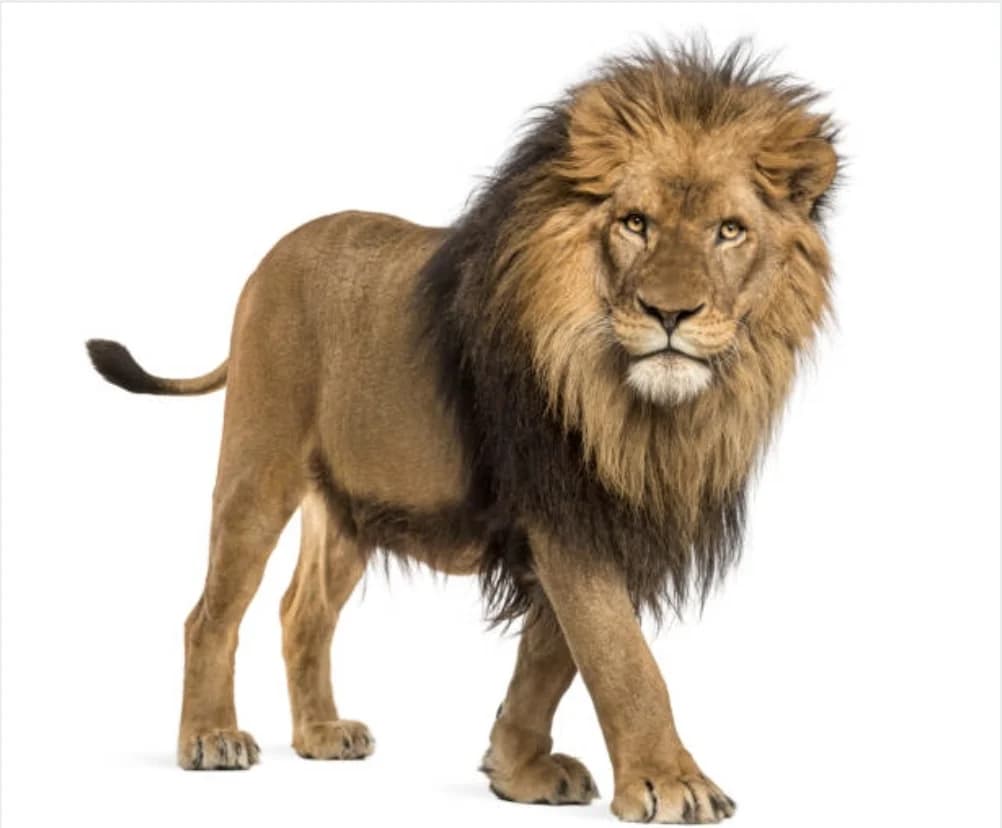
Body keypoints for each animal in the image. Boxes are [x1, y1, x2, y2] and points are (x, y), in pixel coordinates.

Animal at [86, 41, 838, 824]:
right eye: (635, 223)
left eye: (730, 230)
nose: (671, 313)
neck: (645, 412)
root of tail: (273, 256)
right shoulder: (562, 506)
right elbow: (621, 658)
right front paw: (669, 781)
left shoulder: (604, 514)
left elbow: (551, 655)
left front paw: (517, 769)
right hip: (257, 468)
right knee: (210, 612)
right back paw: (209, 738)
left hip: (352, 507)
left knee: (303, 612)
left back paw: (322, 733)